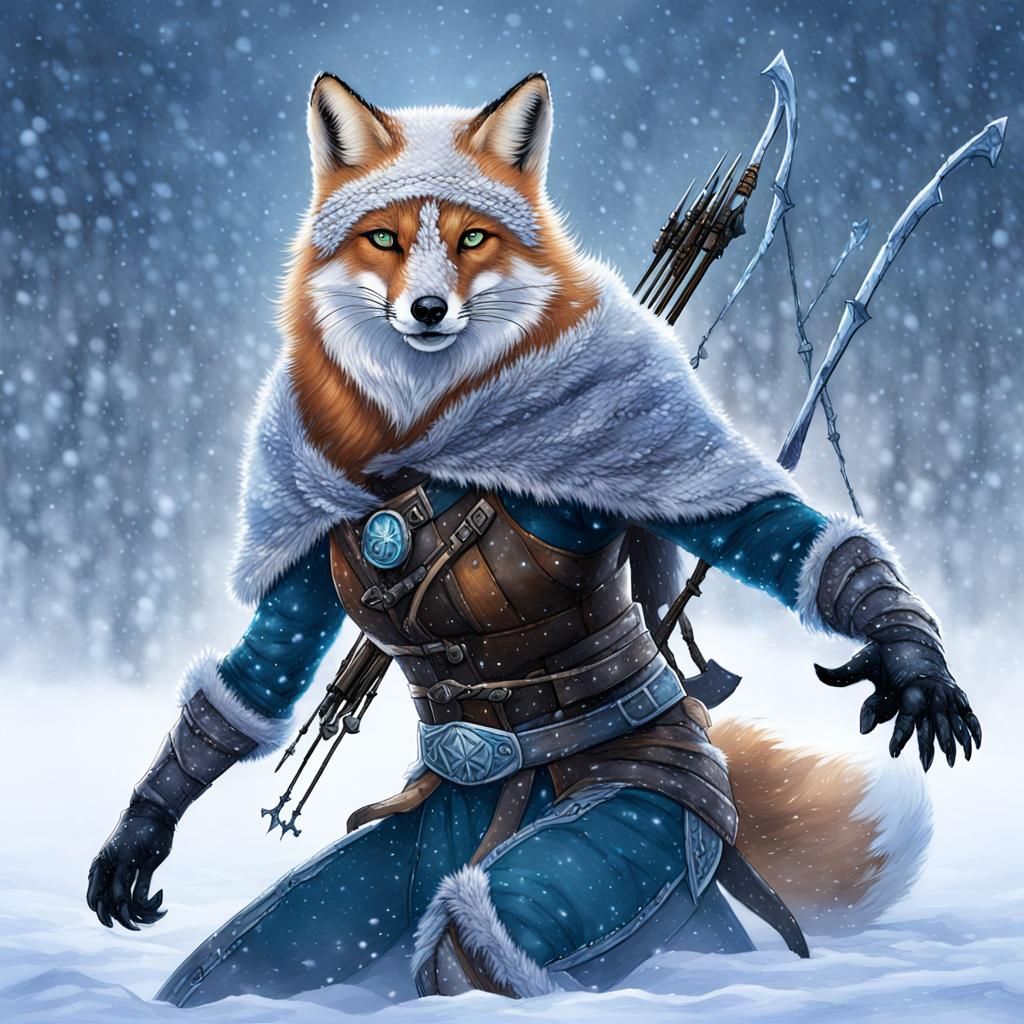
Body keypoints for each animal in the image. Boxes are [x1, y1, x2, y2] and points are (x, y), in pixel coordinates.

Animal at [89, 70, 976, 1004]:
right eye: (383, 238)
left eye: (473, 237)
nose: (428, 308)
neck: (429, 416)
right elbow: (261, 668)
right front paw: (140, 832)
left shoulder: (632, 422)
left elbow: (766, 526)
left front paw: (913, 661)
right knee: (243, 960)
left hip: (632, 834)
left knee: (473, 938)